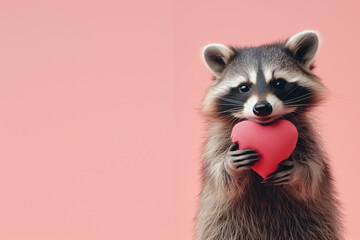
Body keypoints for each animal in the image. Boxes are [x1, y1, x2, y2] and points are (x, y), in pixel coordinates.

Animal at [197, 31, 344, 239]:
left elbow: (311, 175)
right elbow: (222, 179)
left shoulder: (306, 134)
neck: (264, 126)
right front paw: (230, 165)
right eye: (244, 87)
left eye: (279, 83)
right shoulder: (219, 140)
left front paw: (298, 171)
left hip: (310, 222)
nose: (262, 108)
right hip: (225, 224)